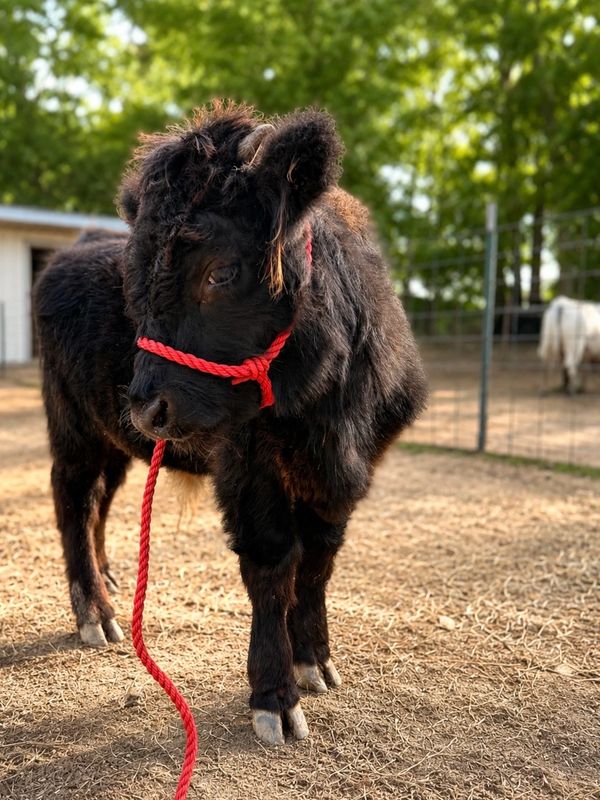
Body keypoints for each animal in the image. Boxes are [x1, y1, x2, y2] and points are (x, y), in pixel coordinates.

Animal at [33, 102, 427, 745]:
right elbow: (273, 564)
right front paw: (275, 698)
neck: (326, 414)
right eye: (133, 277)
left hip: (113, 439)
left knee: (99, 502)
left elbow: (319, 562)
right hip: (73, 428)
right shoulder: (249, 469)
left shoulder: (348, 475)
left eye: (220, 272)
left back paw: (111, 579)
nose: (147, 408)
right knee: (72, 499)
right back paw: (95, 613)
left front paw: (314, 660)